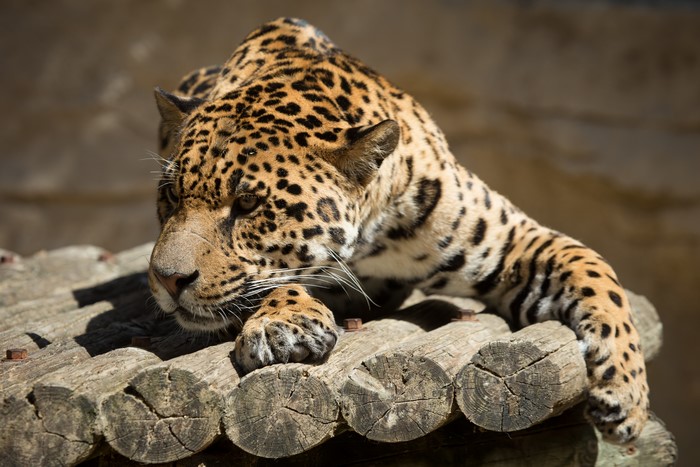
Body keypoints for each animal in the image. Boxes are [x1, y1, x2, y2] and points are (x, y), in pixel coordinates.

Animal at [148, 17, 649, 444]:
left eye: (248, 203)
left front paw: (627, 398)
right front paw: (282, 322)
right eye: (171, 195)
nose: (168, 280)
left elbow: (596, 272)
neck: (364, 241)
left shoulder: (512, 242)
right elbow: (271, 282)